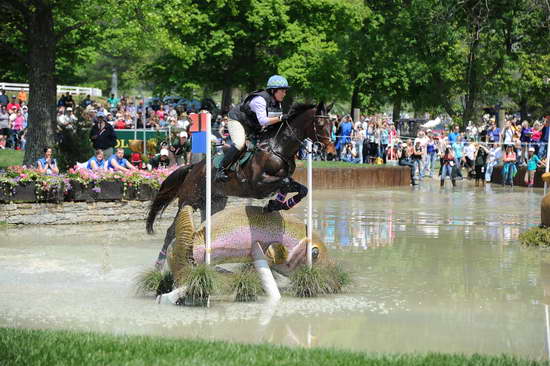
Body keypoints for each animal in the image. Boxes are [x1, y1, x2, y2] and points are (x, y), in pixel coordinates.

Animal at [147, 101, 336, 268]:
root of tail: (193, 167)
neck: (278, 148)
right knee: (171, 231)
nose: (331, 153)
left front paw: (277, 204)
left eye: (331, 124)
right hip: (188, 201)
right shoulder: (258, 184)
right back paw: (158, 264)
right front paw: (274, 204)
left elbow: (302, 189)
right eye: (320, 123)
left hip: (213, 204)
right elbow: (285, 182)